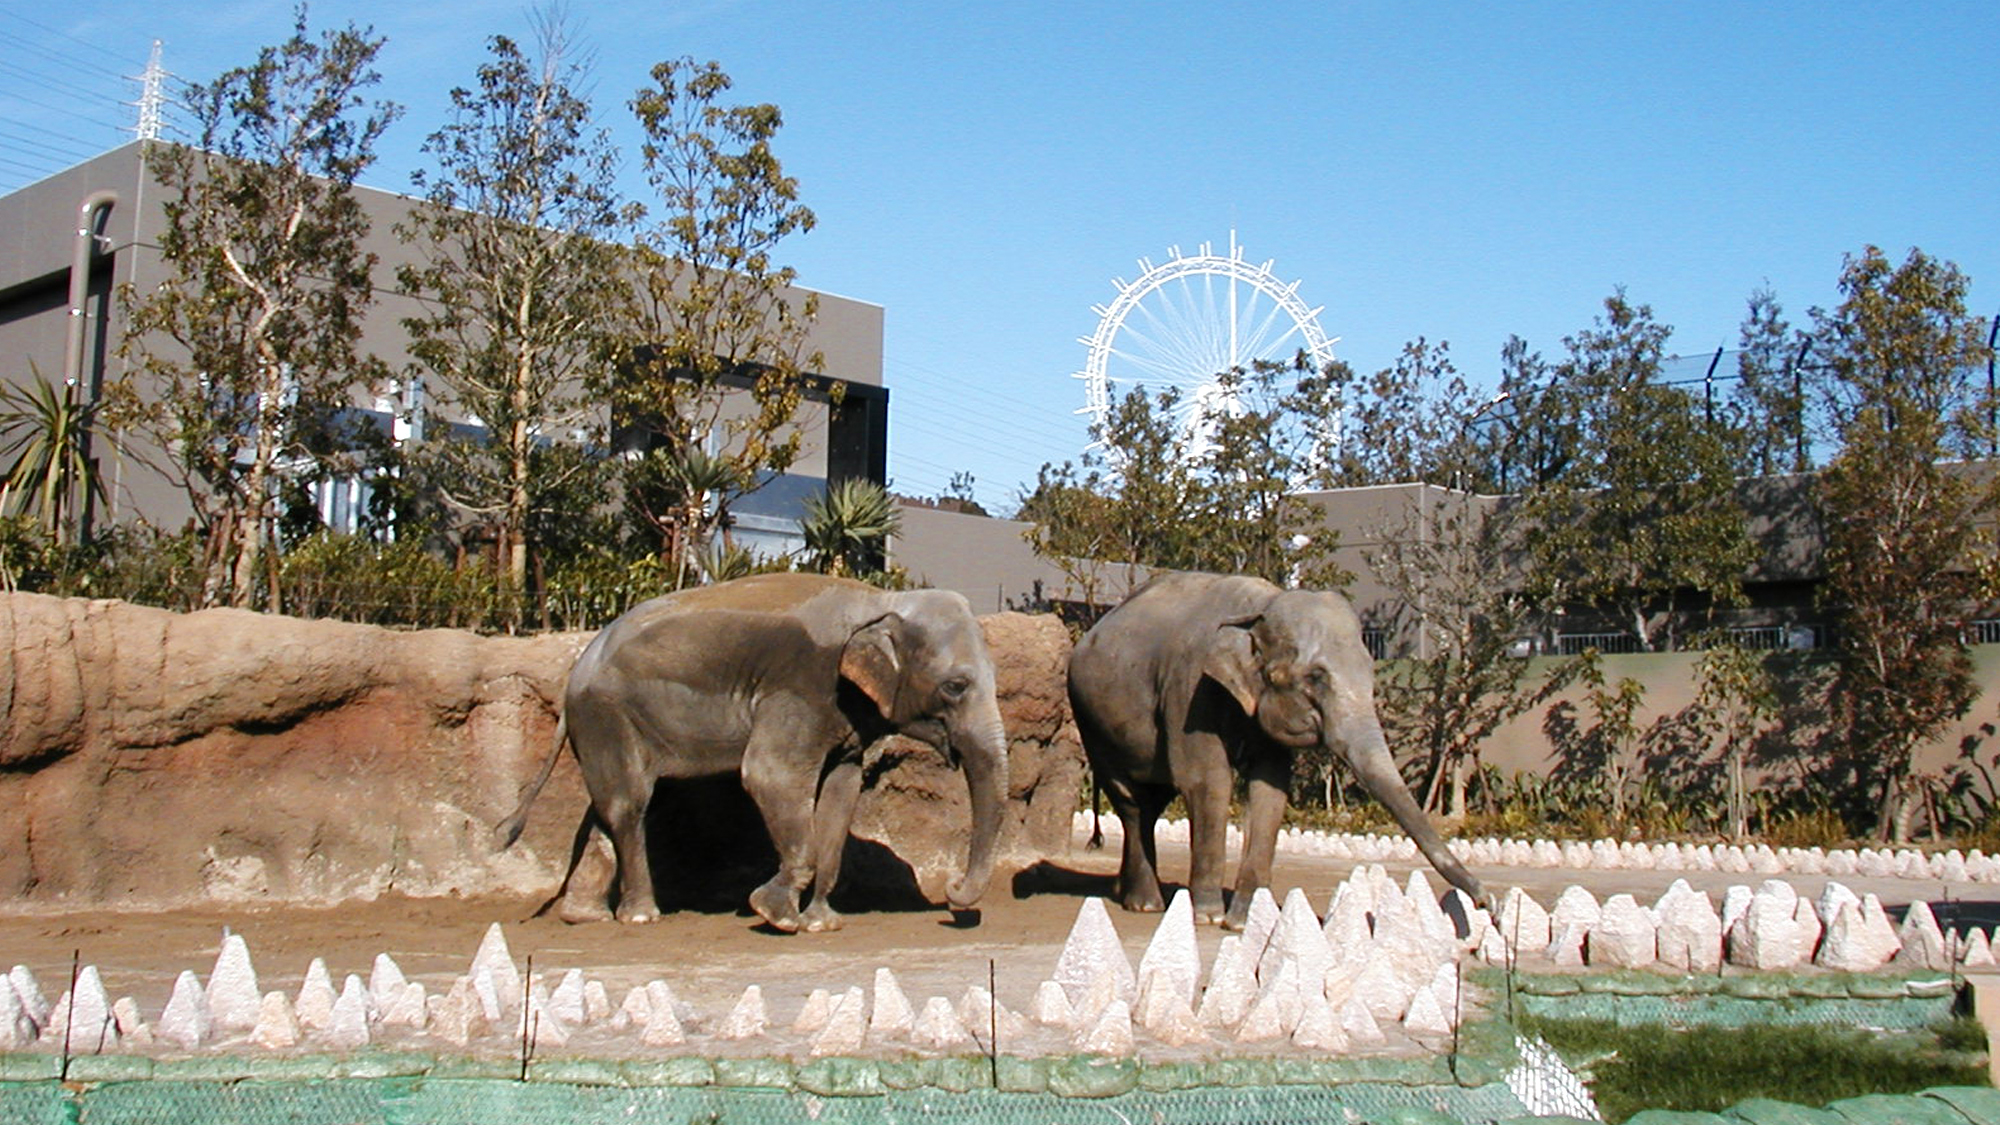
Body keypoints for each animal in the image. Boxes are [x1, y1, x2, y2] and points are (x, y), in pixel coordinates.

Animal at [494, 568, 1008, 928]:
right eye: (955, 687)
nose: (952, 890)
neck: (880, 601)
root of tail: (576, 672)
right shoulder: (802, 685)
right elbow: (768, 776)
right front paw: (774, 914)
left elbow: (841, 793)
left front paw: (822, 923)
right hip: (607, 714)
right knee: (629, 803)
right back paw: (641, 916)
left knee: (612, 805)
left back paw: (586, 916)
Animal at [1072, 572, 1480, 924]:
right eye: (1316, 677)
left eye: (1369, 668)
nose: (1483, 902)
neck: (1259, 607)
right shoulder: (1189, 688)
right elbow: (1208, 782)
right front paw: (1209, 916)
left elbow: (1269, 788)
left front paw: (1245, 919)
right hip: (1093, 724)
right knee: (1131, 802)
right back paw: (1146, 904)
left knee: (1153, 802)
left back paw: (1128, 894)